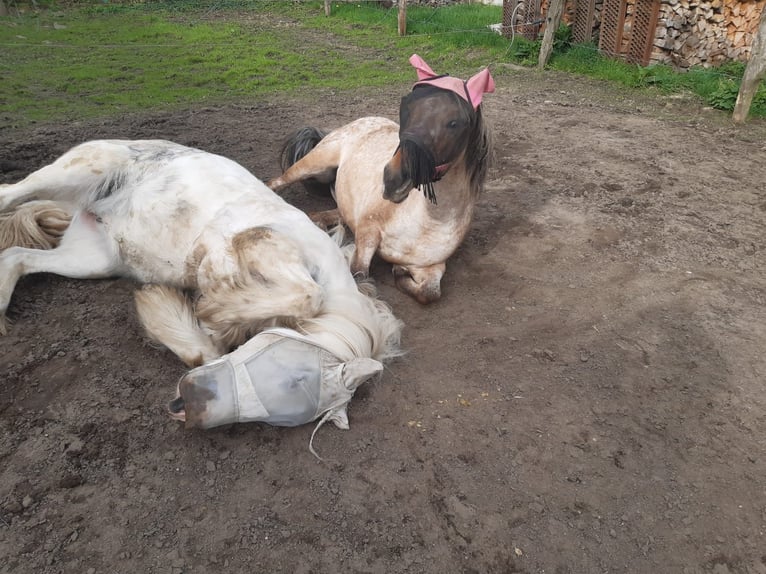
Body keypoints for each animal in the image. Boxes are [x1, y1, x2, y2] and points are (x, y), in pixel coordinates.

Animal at [0, 141, 404, 432]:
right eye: (295, 377)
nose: (191, 409)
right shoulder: (245, 245)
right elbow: (305, 295)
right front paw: (213, 308)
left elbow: (207, 350)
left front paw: (170, 311)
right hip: (77, 172)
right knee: (7, 194)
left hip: (92, 259)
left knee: (17, 258)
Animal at [270, 54, 498, 306]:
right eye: (405, 107)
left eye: (455, 123)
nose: (392, 180)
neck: (429, 220)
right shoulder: (367, 233)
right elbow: (359, 274)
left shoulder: (431, 266)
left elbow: (430, 293)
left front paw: (400, 273)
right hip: (315, 163)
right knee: (275, 183)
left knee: (324, 214)